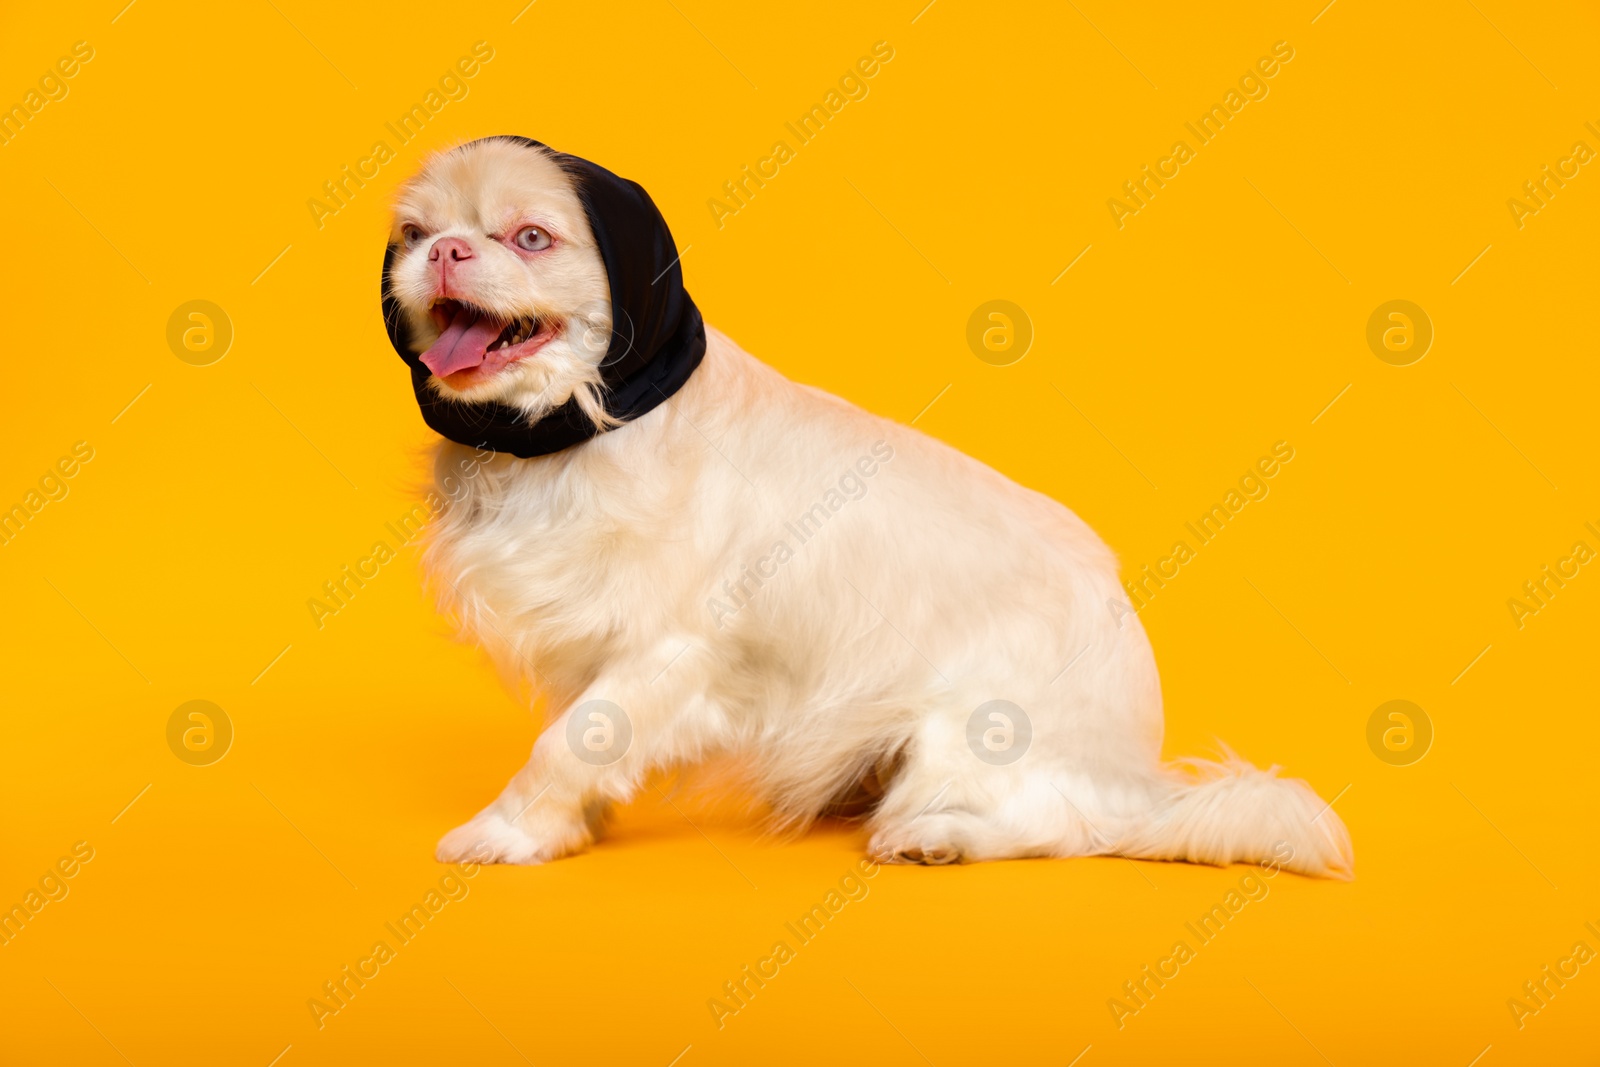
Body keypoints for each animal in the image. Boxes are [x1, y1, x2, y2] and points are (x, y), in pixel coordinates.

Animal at [384, 137, 1350, 883]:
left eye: (530, 237)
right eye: (416, 235)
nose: (446, 252)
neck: (568, 433)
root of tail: (1140, 779)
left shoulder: (666, 649)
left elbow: (567, 742)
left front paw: (505, 831)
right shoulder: (587, 641)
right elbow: (582, 740)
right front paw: (566, 828)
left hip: (967, 733)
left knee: (1067, 828)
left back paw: (937, 836)